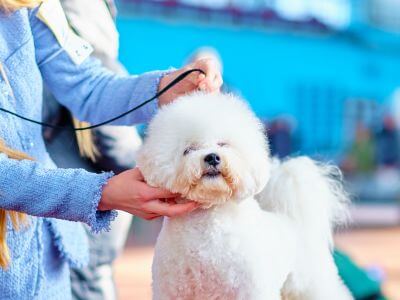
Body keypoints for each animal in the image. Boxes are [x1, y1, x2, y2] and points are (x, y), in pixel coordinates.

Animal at [138, 92, 354, 298]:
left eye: (223, 144)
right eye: (188, 150)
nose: (212, 157)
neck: (208, 220)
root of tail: (294, 222)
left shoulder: (252, 289)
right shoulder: (171, 290)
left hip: (308, 282)